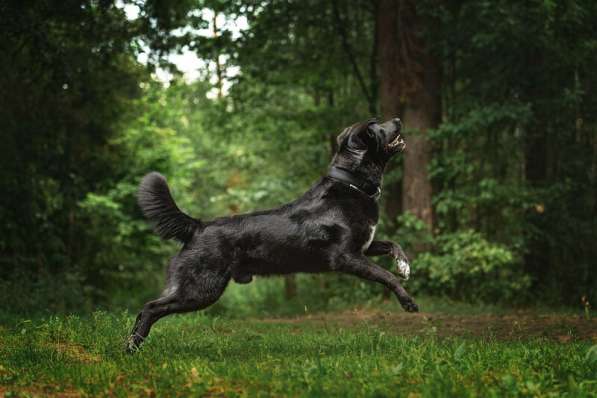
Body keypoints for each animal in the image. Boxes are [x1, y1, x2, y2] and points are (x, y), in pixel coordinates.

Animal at [128, 118, 416, 352]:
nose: (398, 120)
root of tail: (198, 226)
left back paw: (131, 345)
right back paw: (132, 347)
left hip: (193, 288)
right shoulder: (347, 257)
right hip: (200, 289)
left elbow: (393, 244)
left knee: (147, 309)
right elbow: (387, 276)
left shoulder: (364, 247)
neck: (351, 184)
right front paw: (408, 302)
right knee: (151, 307)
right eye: (376, 126)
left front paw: (404, 266)